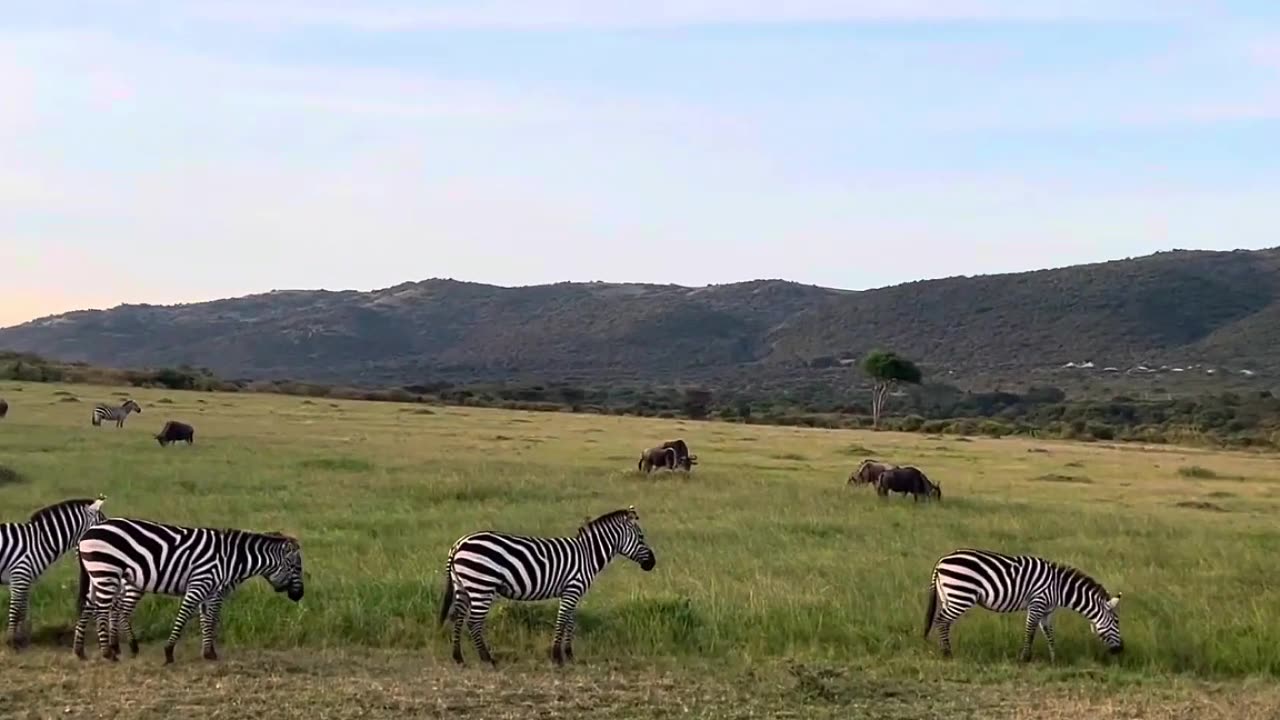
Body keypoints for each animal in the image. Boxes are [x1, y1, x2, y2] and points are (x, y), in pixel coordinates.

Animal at [0, 489, 106, 648]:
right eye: (102, 524)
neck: (39, 542)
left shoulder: (24, 580)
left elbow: (22, 609)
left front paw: (21, 638)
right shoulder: (20, 575)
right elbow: (15, 610)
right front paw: (11, 641)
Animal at [72, 515, 304, 661]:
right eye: (296, 567)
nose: (299, 595)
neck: (231, 560)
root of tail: (88, 533)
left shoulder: (212, 592)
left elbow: (209, 620)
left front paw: (209, 653)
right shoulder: (200, 584)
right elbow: (184, 617)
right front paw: (169, 652)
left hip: (98, 575)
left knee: (92, 607)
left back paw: (81, 650)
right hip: (106, 572)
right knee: (103, 610)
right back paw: (108, 653)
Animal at [440, 502, 660, 666]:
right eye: (641, 537)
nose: (652, 563)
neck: (588, 555)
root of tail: (458, 544)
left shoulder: (571, 591)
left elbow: (570, 621)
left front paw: (569, 654)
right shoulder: (573, 588)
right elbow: (562, 621)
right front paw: (557, 656)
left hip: (464, 586)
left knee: (458, 618)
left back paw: (458, 657)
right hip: (482, 586)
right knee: (473, 622)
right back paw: (487, 659)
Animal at [921, 545, 1121, 661]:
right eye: (1116, 622)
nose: (1120, 650)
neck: (1059, 589)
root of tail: (941, 561)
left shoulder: (1046, 611)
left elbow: (1049, 634)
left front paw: (1054, 658)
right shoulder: (1037, 603)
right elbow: (1030, 631)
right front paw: (1025, 658)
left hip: (949, 596)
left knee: (943, 622)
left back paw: (945, 650)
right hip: (961, 595)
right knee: (941, 620)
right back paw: (947, 654)